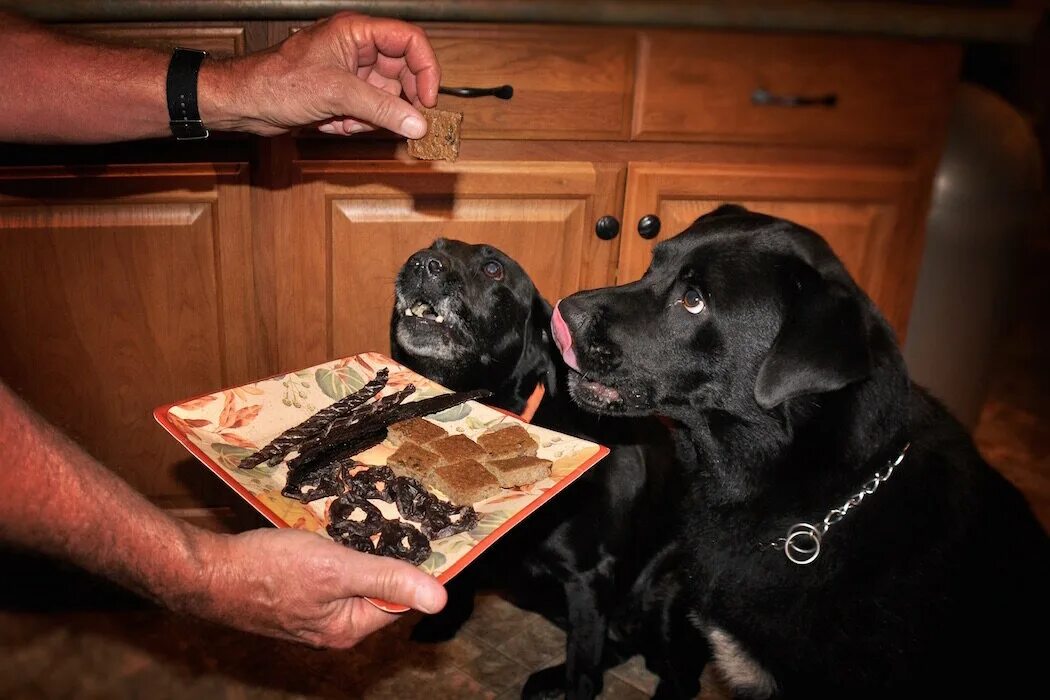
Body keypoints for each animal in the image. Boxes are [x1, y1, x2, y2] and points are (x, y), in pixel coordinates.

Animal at [390, 241, 701, 700]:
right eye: (434, 245)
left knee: (677, 675)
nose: (420, 264)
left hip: (666, 594)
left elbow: (583, 668)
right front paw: (446, 621)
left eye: (494, 268)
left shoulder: (589, 579)